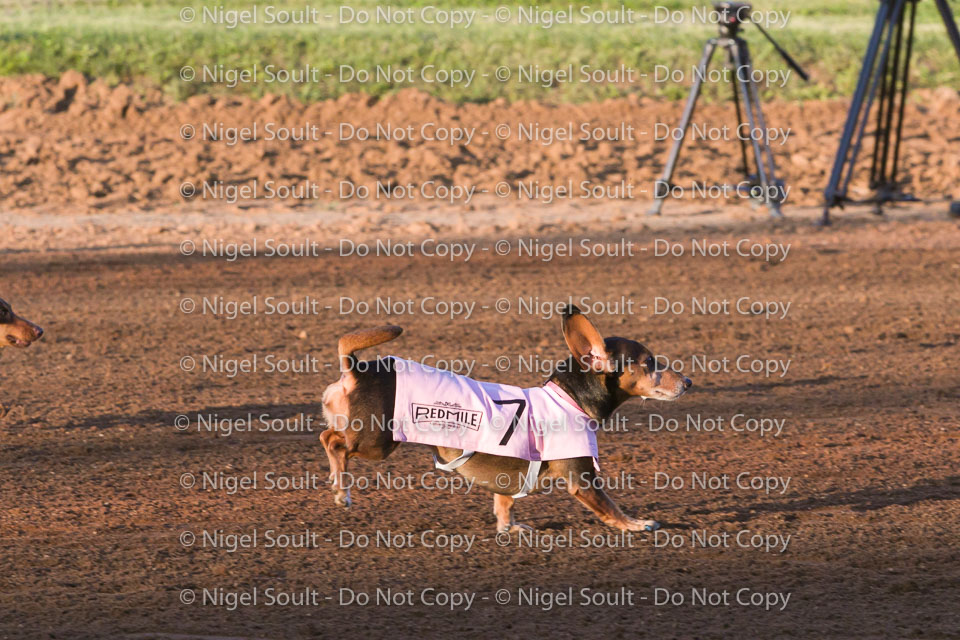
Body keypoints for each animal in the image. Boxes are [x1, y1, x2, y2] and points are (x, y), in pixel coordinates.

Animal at [320, 302, 688, 532]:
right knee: (333, 441)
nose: (688, 382)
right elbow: (610, 507)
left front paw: (509, 528)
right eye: (650, 363)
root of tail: (357, 370)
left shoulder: (505, 479)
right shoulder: (581, 478)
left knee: (331, 438)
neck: (570, 399)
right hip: (376, 440)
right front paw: (636, 524)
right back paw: (341, 490)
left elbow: (504, 503)